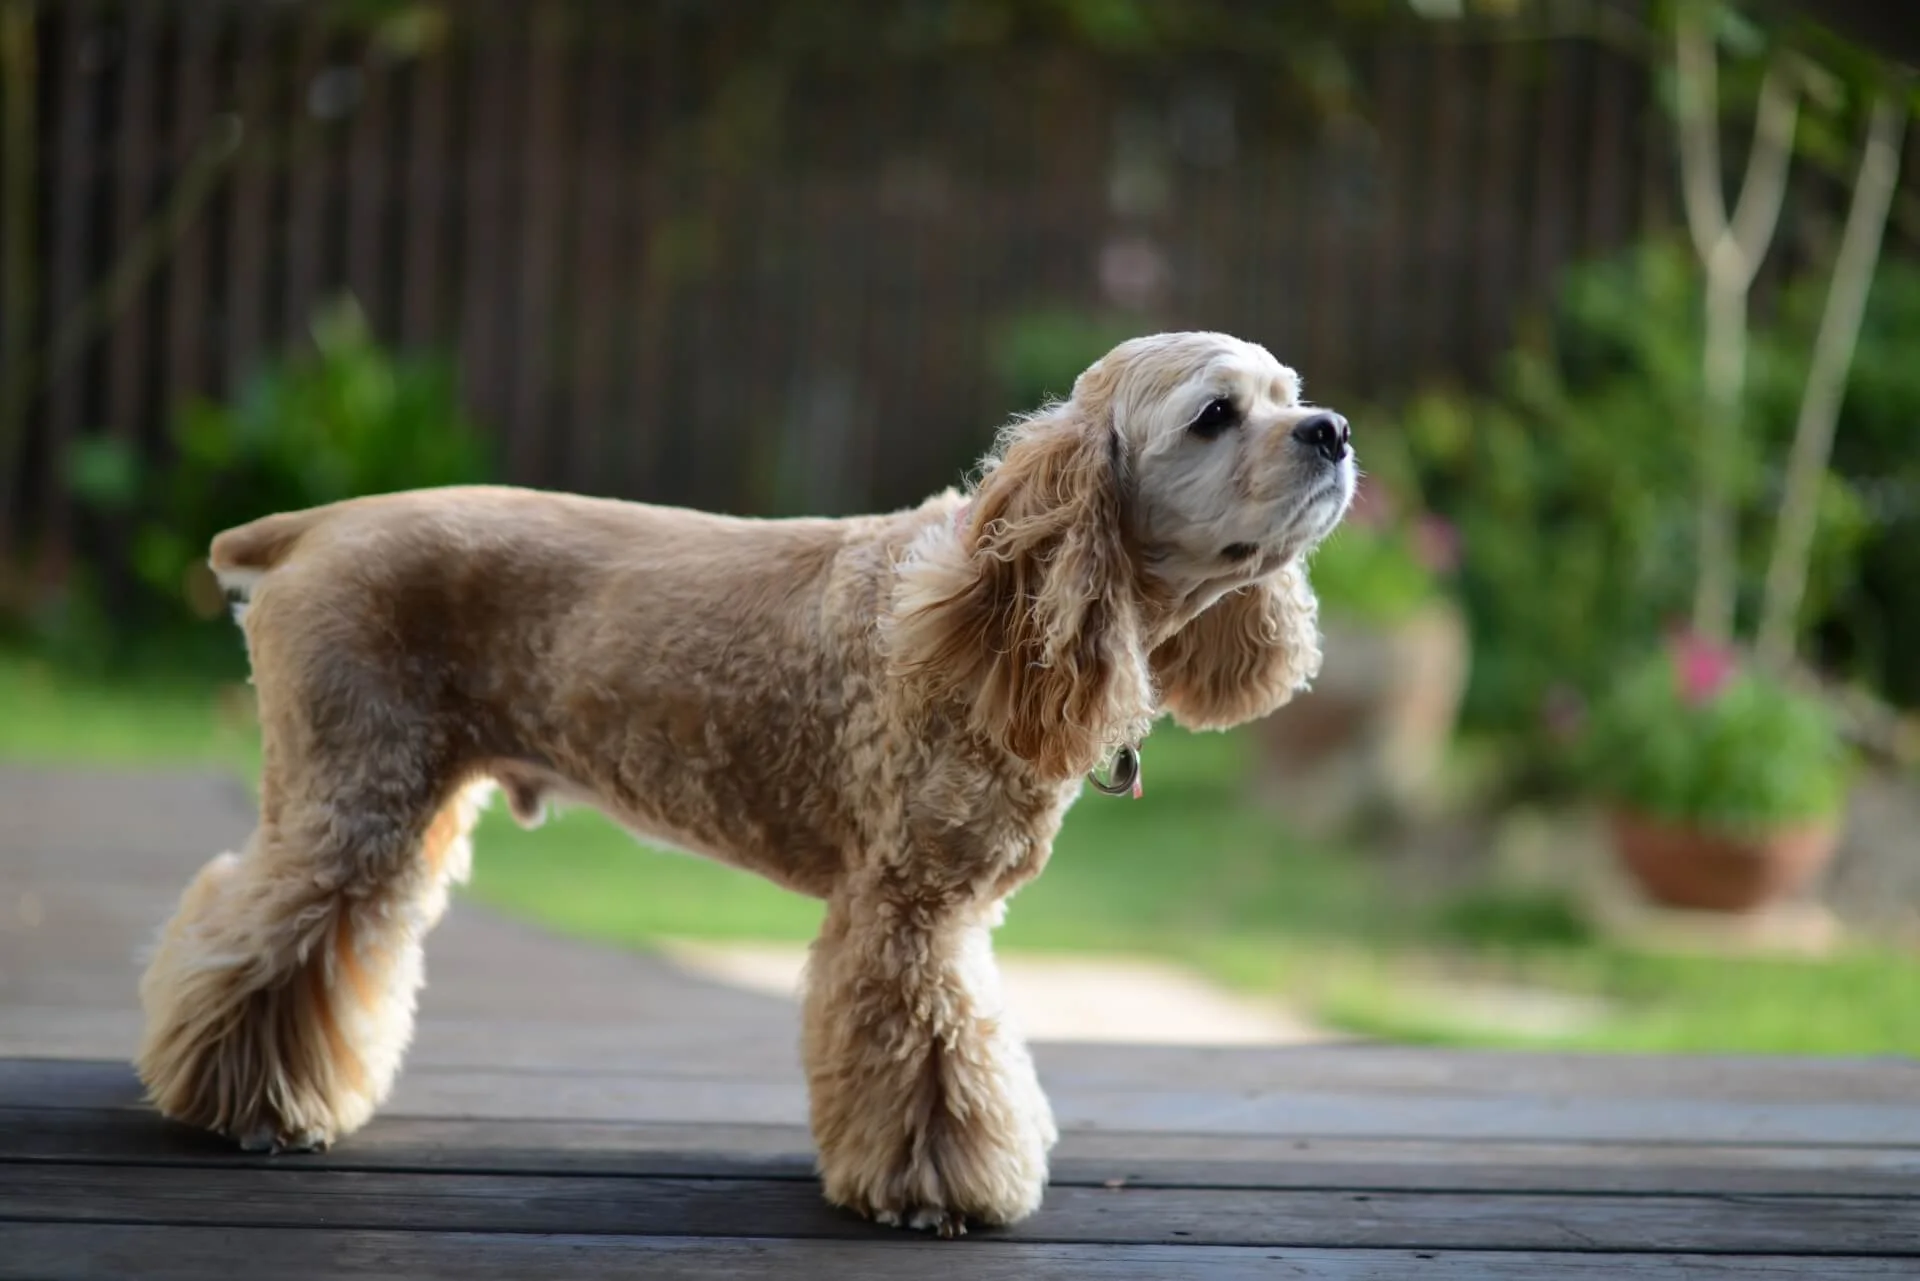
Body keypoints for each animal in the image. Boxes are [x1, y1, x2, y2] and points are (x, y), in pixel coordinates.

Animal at [139, 330, 1351, 1229]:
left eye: (1290, 395)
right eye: (1215, 415)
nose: (1334, 431)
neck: (987, 605)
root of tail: (316, 526)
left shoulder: (938, 910)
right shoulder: (907, 910)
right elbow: (934, 1057)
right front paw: (936, 1191)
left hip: (405, 801)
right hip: (354, 795)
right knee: (256, 932)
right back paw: (243, 1105)